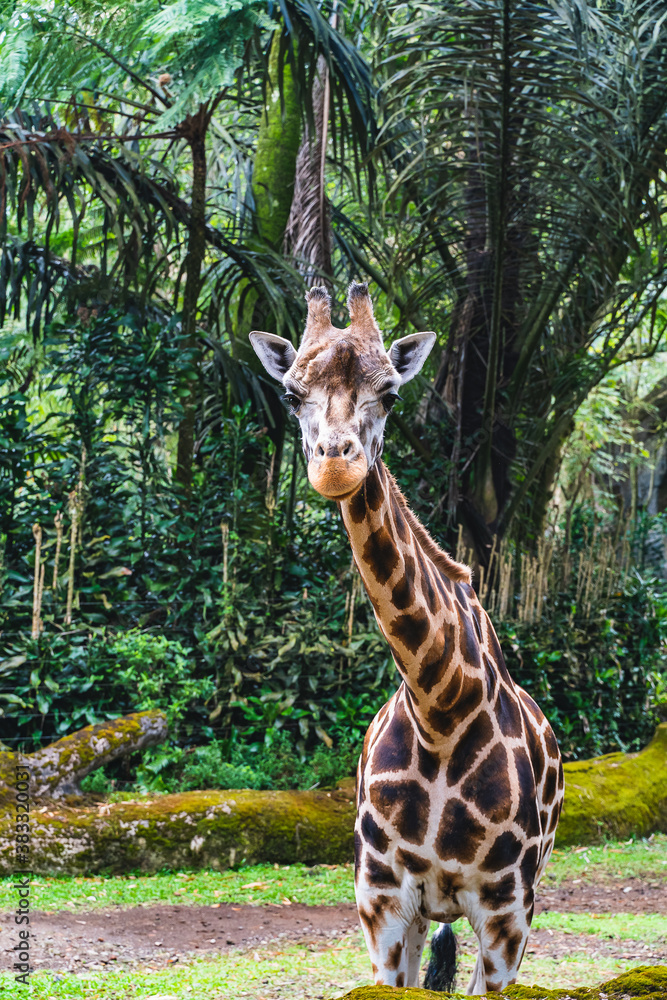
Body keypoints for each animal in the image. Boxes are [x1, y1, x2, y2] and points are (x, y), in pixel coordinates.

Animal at [250, 283, 564, 994]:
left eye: (391, 393)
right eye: (291, 394)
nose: (336, 468)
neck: (440, 708)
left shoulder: (507, 913)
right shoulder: (382, 902)